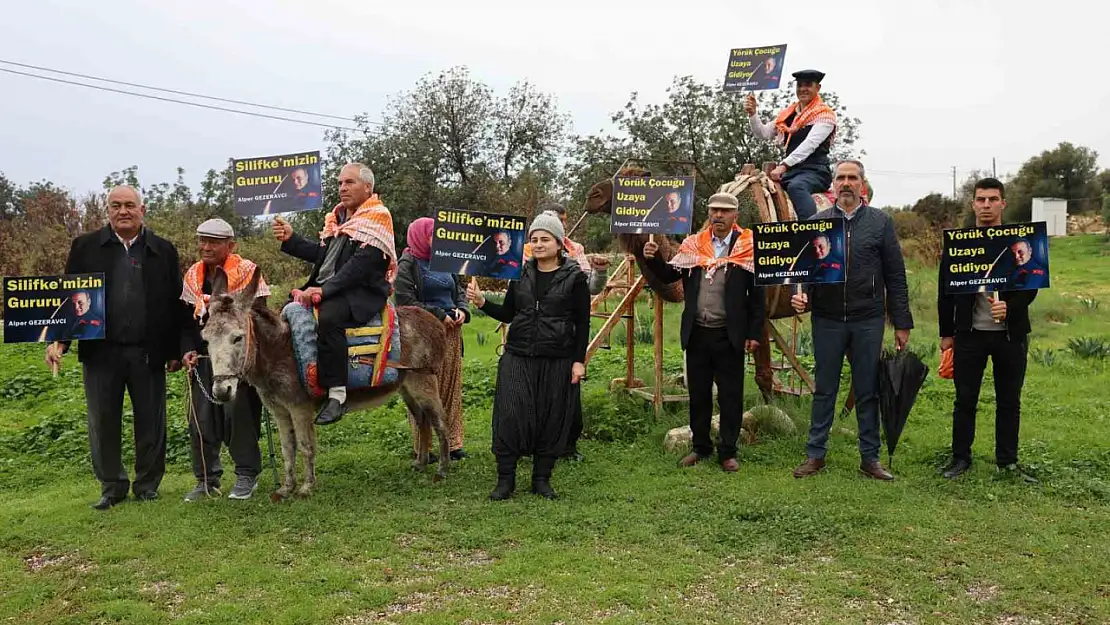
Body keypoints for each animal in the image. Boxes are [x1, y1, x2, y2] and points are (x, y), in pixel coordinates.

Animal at [202, 266, 448, 501]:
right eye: (205, 339)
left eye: (237, 337)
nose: (222, 391)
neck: (278, 350)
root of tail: (432, 320)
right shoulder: (279, 411)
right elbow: (287, 449)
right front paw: (285, 489)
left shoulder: (299, 408)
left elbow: (305, 446)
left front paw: (306, 488)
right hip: (406, 387)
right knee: (422, 420)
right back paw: (421, 463)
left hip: (423, 382)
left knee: (439, 421)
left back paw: (442, 470)